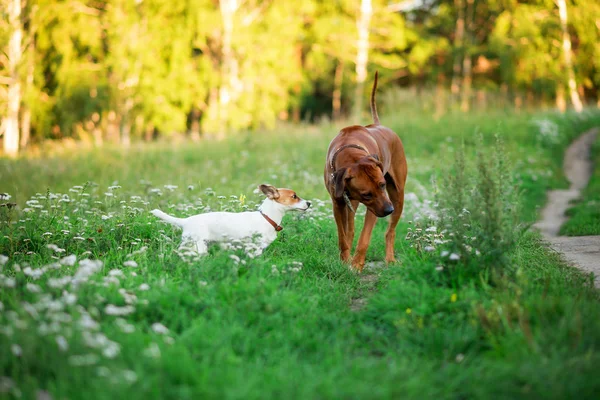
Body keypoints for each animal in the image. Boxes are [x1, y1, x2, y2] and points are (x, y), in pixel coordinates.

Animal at [150, 184, 312, 256]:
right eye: (294, 196)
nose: (309, 203)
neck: (267, 217)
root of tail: (186, 221)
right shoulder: (255, 248)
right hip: (197, 246)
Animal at [324, 72, 408, 272]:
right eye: (366, 194)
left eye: (382, 185)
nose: (389, 210)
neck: (350, 153)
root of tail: (379, 124)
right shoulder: (338, 203)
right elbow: (342, 236)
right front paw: (344, 260)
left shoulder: (377, 206)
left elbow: (364, 238)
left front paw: (356, 264)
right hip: (353, 202)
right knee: (350, 229)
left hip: (398, 195)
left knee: (390, 231)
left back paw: (390, 259)